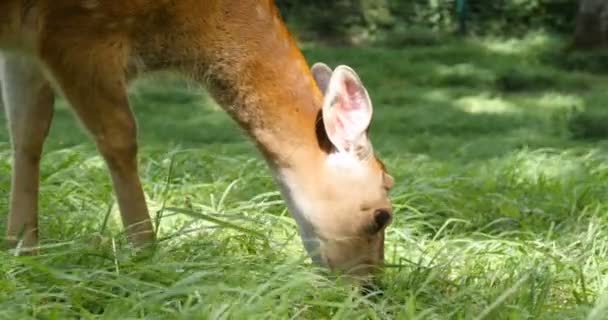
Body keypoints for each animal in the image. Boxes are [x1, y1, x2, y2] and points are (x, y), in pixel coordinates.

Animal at [0, 0, 396, 284]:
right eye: (382, 216)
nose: (371, 289)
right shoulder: (75, 33)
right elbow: (120, 138)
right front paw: (146, 256)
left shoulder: (25, 47)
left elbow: (27, 134)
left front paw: (20, 252)